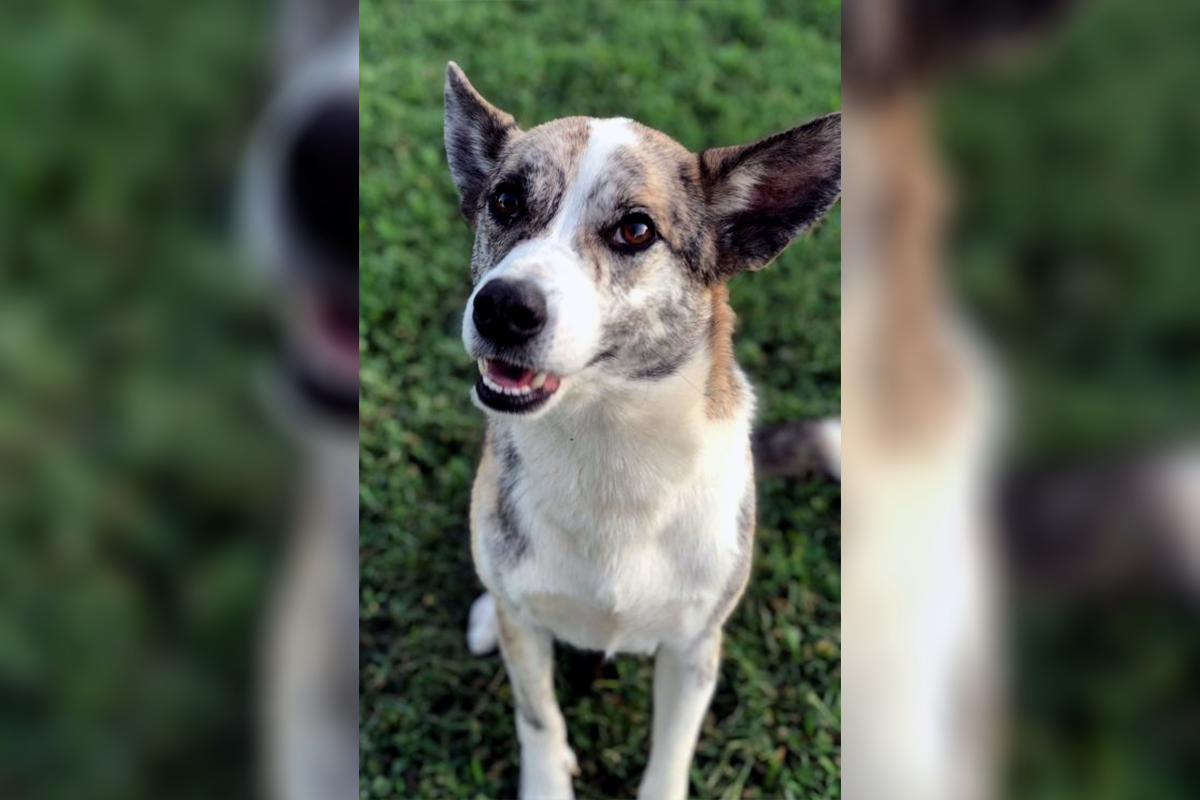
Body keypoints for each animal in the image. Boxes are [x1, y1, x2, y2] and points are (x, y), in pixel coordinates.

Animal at [442, 62, 840, 799]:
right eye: (505, 201)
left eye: (635, 230)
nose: (502, 308)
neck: (608, 445)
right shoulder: (528, 639)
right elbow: (538, 717)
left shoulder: (695, 647)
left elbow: (672, 749)